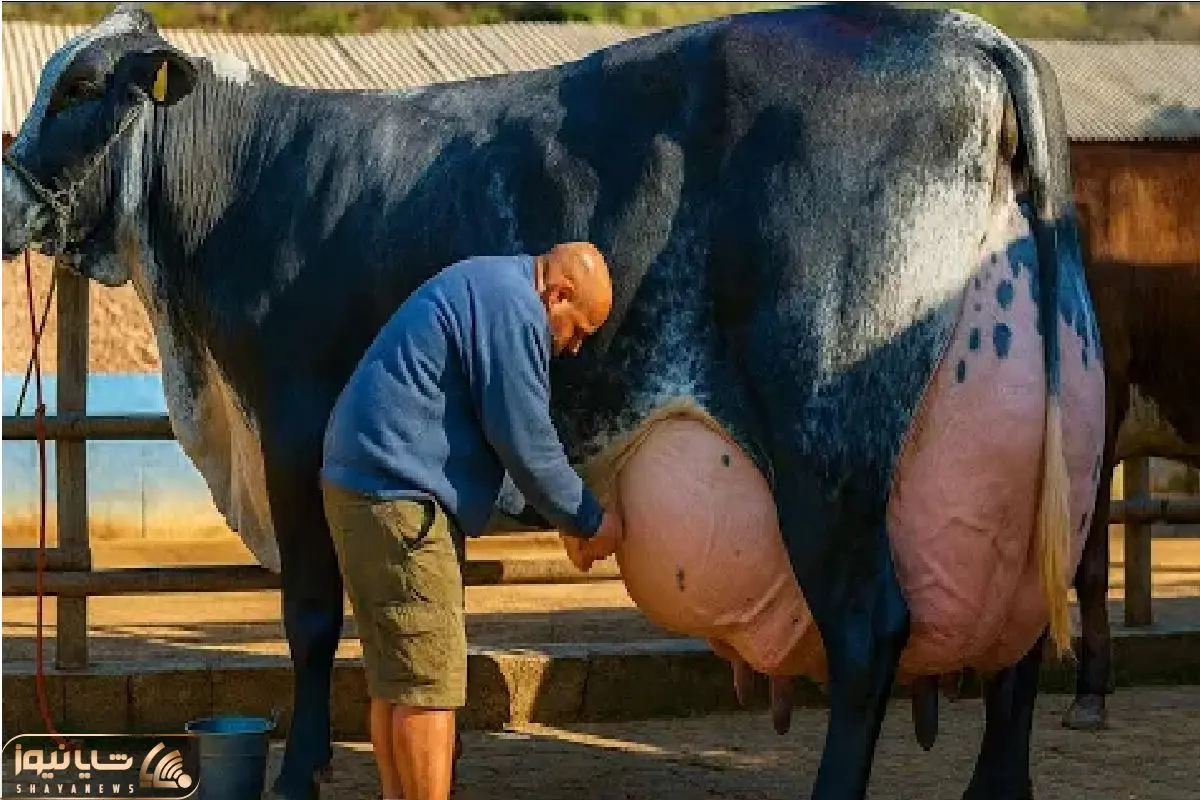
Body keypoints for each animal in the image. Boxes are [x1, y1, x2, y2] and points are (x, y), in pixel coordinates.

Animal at [3, 4, 1106, 798]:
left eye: (86, 85)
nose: (8, 197)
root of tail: (972, 36)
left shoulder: (291, 417)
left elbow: (312, 615)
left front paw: (297, 771)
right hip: (1024, 468)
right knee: (1018, 646)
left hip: (825, 446)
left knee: (871, 628)